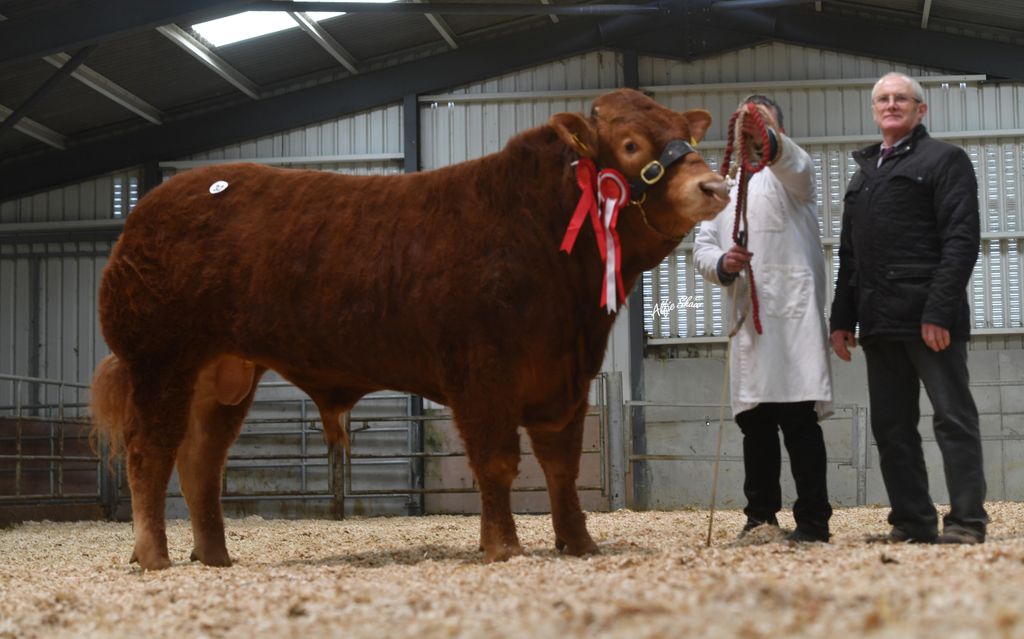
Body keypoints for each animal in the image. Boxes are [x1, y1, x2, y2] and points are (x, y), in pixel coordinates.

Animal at [90, 88, 729, 570]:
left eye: (688, 136)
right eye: (630, 144)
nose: (715, 186)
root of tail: (150, 207)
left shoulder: (565, 378)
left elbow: (561, 467)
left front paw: (579, 543)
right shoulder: (482, 371)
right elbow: (497, 461)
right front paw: (503, 547)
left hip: (224, 374)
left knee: (202, 461)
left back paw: (214, 557)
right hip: (159, 359)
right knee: (149, 453)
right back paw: (154, 556)